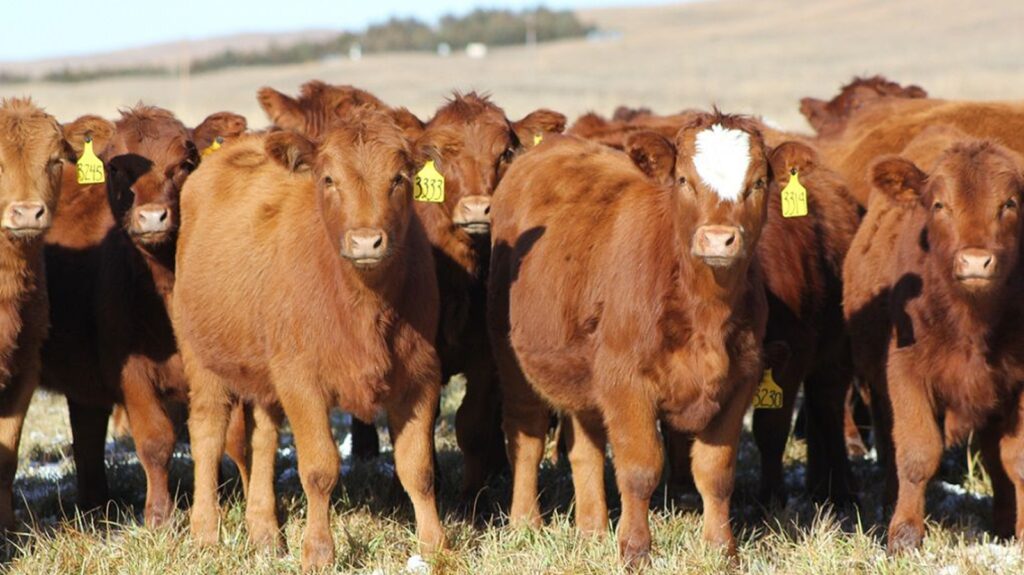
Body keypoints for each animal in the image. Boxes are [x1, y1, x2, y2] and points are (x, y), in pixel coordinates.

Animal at [41, 105, 248, 526]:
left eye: (184, 164)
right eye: (116, 168)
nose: (153, 217)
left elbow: (233, 439)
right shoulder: (130, 372)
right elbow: (155, 440)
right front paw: (159, 515)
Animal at [172, 109, 445, 571]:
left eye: (400, 177)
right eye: (329, 179)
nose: (366, 240)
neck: (364, 304)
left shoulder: (421, 377)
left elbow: (418, 469)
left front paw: (435, 547)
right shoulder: (302, 381)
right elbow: (319, 469)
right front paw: (318, 552)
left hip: (265, 372)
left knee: (263, 439)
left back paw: (265, 533)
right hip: (203, 359)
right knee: (207, 434)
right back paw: (205, 533)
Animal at [488, 112, 771, 565]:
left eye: (758, 182)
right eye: (684, 180)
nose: (718, 239)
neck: (704, 309)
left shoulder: (740, 381)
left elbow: (716, 472)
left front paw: (722, 550)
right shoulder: (625, 382)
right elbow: (640, 469)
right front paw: (636, 550)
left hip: (583, 371)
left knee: (584, 448)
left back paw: (592, 530)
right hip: (512, 357)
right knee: (526, 436)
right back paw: (525, 523)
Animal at [843, 138, 1024, 552]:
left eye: (1009, 203)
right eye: (940, 205)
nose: (975, 261)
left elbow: (1016, 460)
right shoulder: (905, 372)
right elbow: (917, 454)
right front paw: (904, 536)